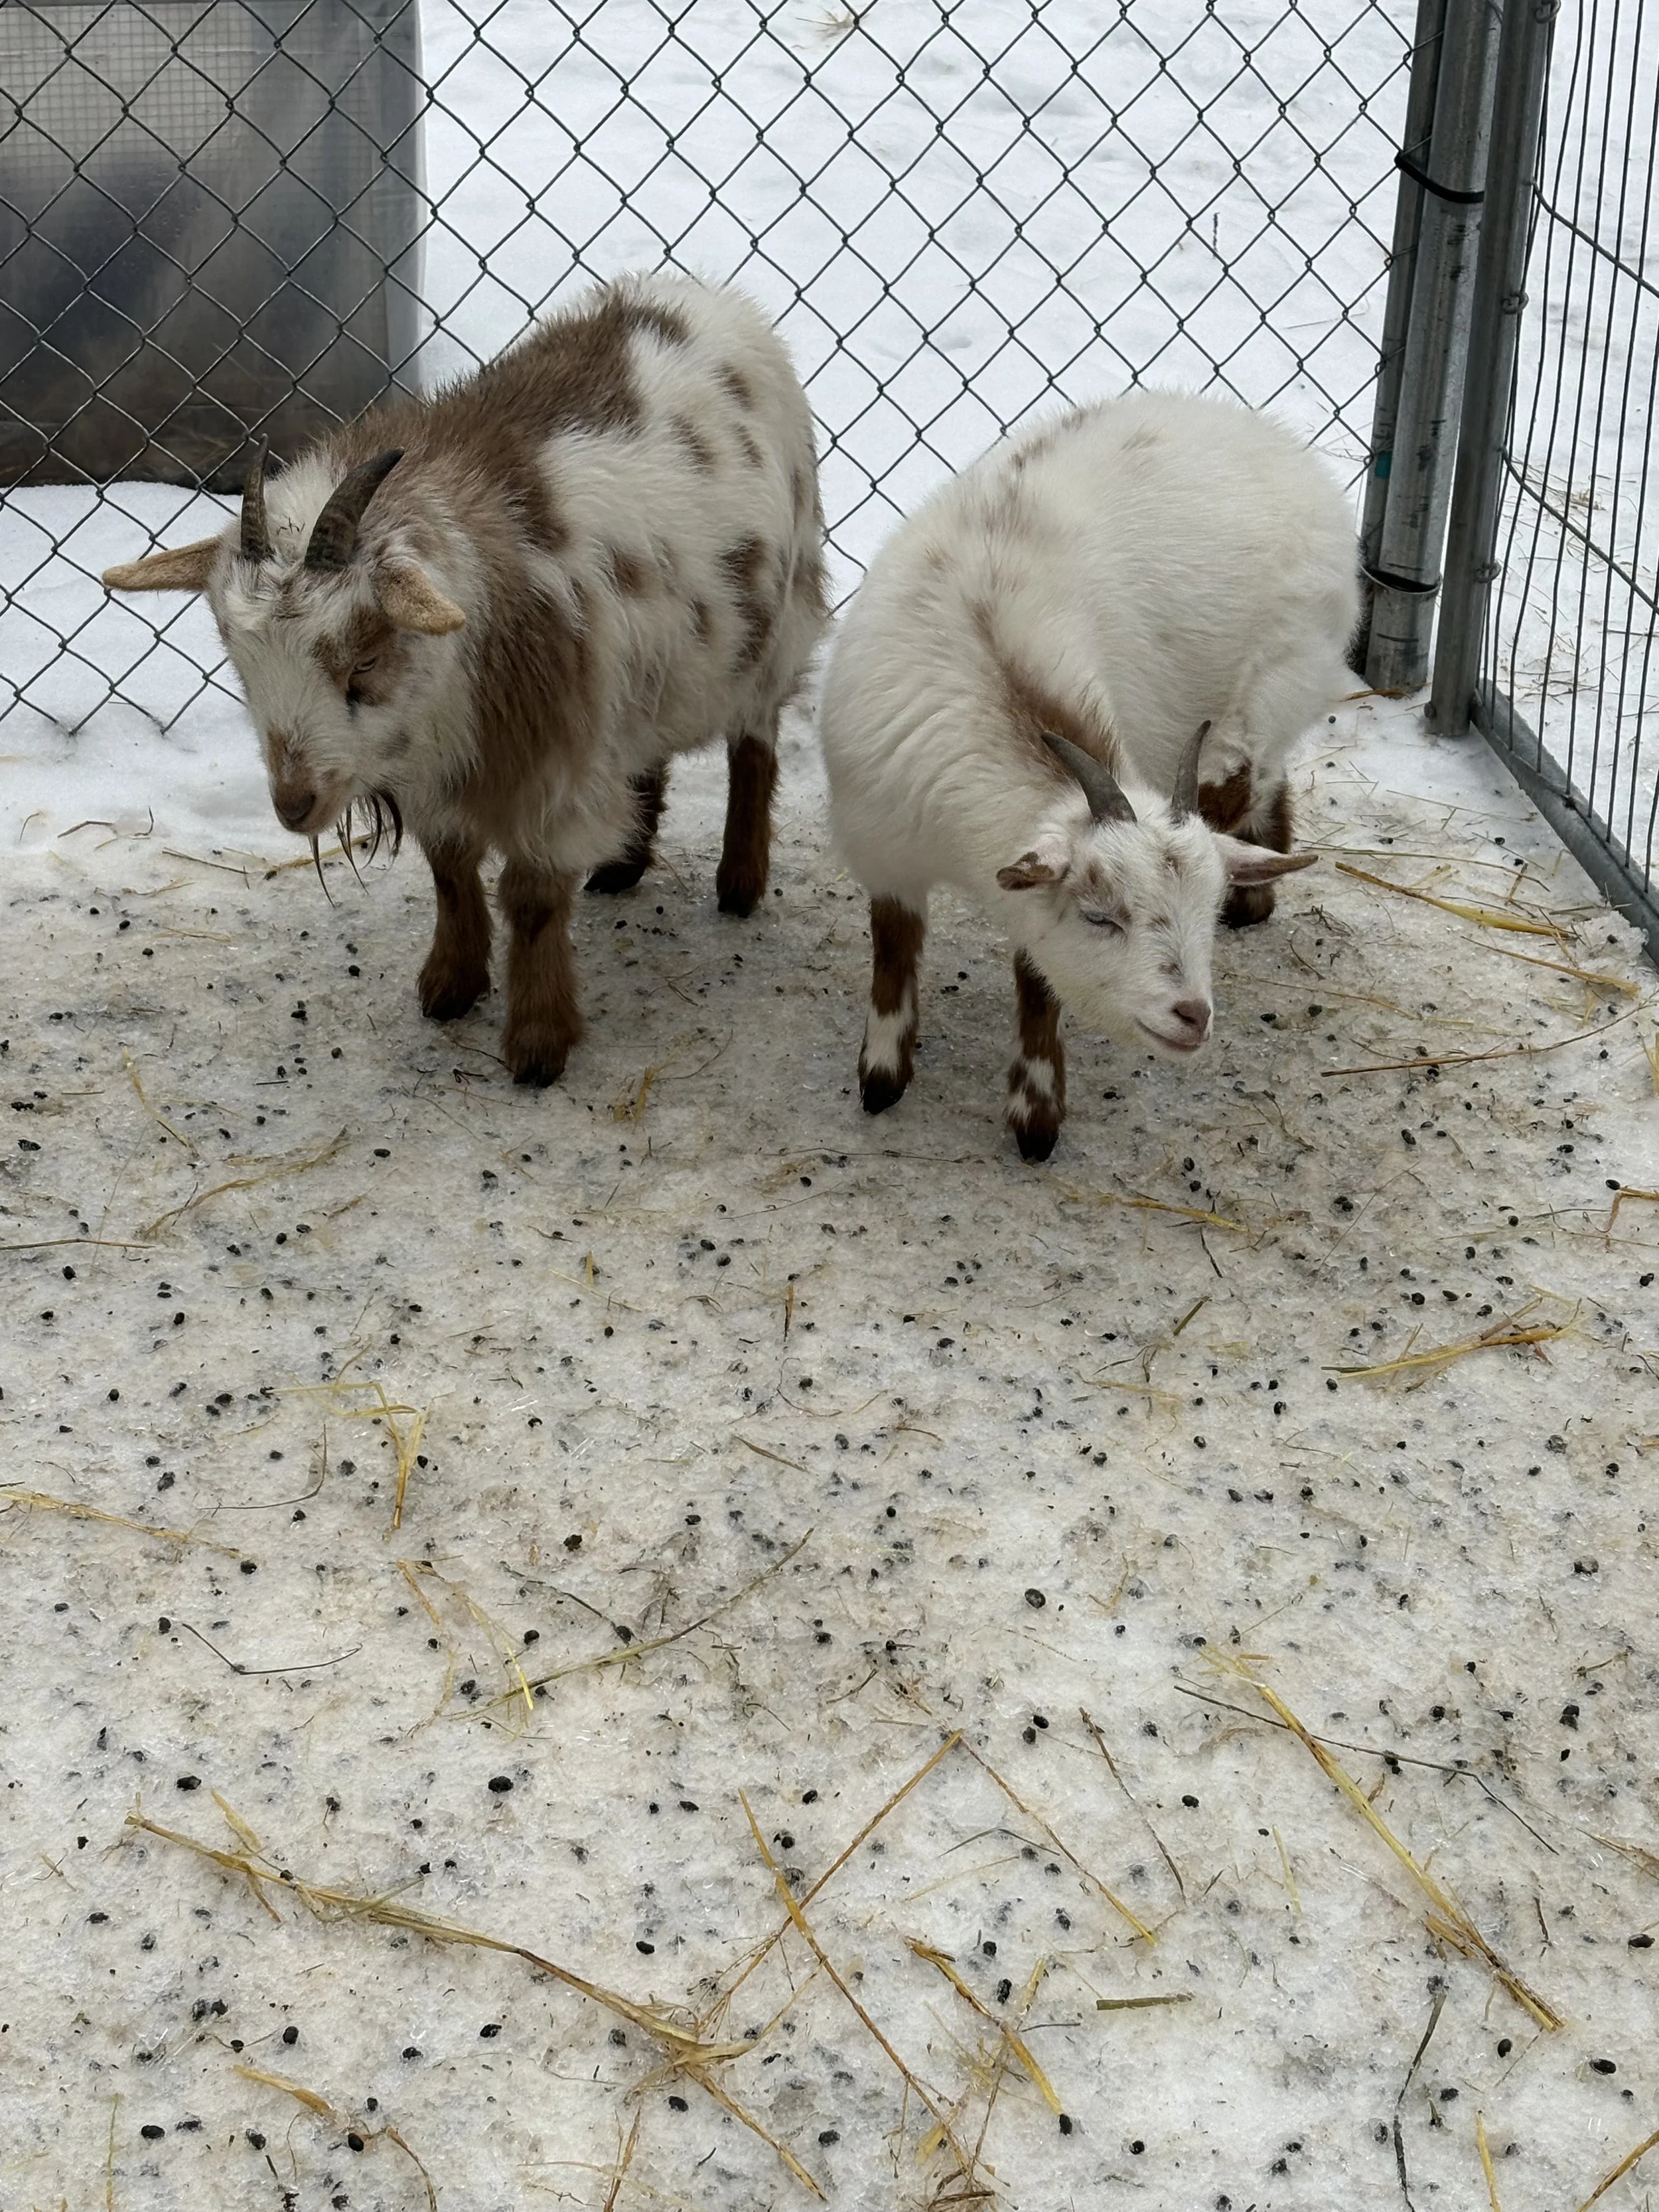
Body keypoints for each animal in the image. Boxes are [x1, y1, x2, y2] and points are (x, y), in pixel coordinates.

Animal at [103, 274, 827, 1084]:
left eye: (363, 661)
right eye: (239, 661)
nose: (295, 805)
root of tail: (701, 292)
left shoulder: (553, 772)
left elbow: (532, 899)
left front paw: (538, 1041)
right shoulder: (448, 773)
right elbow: (450, 874)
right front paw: (449, 984)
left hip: (774, 626)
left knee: (754, 748)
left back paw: (740, 882)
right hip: (645, 673)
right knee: (651, 747)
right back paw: (624, 864)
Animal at [818, 389, 1357, 1159]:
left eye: (1199, 910)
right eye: (1100, 917)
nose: (1192, 1014)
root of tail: (1262, 431)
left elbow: (1036, 978)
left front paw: (1036, 1112)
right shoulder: (882, 849)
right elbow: (892, 954)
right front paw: (882, 1076)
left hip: (1276, 680)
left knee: (1247, 773)